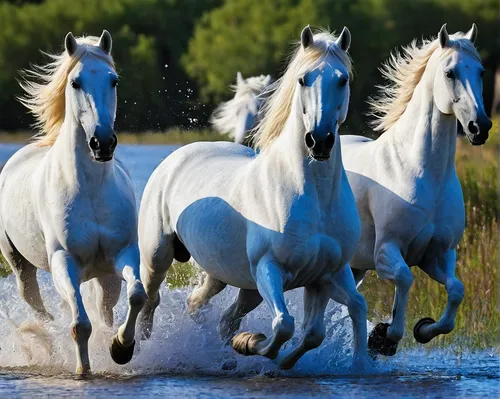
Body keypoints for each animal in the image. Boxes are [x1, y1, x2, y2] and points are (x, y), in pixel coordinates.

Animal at [0, 31, 146, 376]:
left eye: (113, 81)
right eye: (76, 82)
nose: (102, 143)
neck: (90, 190)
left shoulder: (123, 254)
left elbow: (137, 296)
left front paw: (121, 348)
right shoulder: (63, 262)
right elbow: (79, 325)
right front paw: (83, 370)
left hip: (104, 277)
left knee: (104, 311)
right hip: (20, 265)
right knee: (41, 310)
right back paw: (48, 349)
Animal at [138, 25, 372, 372]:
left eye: (342, 79)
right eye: (303, 79)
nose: (319, 141)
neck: (311, 195)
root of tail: (177, 156)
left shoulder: (325, 274)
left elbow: (329, 323)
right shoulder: (269, 268)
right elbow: (283, 325)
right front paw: (250, 343)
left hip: (231, 278)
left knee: (210, 312)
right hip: (158, 255)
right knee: (150, 300)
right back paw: (129, 347)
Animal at [340, 23, 492, 358]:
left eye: (481, 71)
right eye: (450, 73)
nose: (480, 127)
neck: (420, 171)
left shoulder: (437, 255)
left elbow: (456, 291)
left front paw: (422, 329)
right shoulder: (387, 251)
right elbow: (405, 280)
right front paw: (383, 337)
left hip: (354, 266)